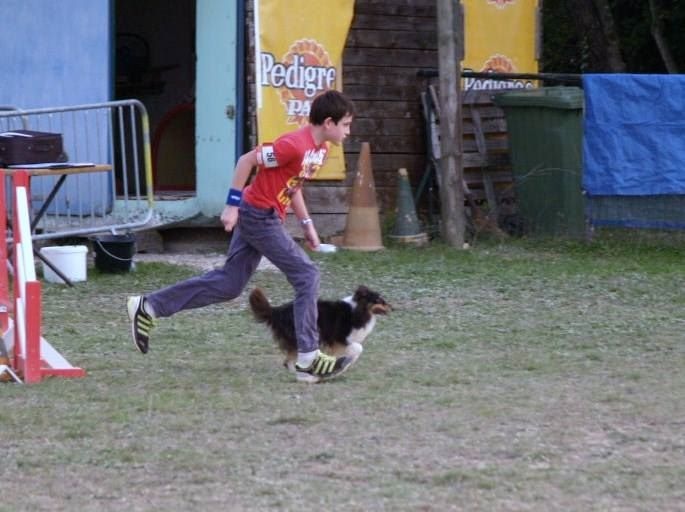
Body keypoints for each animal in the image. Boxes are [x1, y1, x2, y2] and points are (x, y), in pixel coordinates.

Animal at [250, 286, 390, 370]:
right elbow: (358, 348)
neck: (358, 309)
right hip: (297, 336)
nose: (393, 308)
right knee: (288, 360)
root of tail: (278, 311)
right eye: (379, 301)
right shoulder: (339, 339)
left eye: (383, 300)